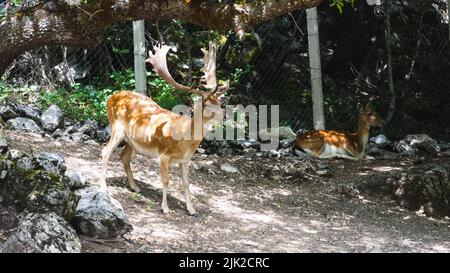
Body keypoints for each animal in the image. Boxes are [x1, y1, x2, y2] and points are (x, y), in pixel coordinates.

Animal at [100, 41, 230, 215]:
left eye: (220, 104)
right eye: (207, 104)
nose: (223, 118)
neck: (185, 141)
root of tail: (111, 97)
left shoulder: (186, 160)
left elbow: (186, 183)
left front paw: (191, 209)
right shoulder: (163, 155)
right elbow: (166, 181)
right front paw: (165, 208)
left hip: (132, 140)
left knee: (124, 156)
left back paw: (135, 187)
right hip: (117, 128)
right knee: (105, 151)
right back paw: (103, 187)